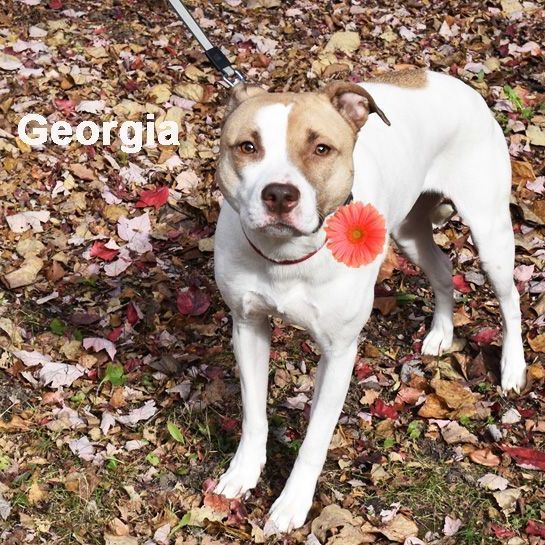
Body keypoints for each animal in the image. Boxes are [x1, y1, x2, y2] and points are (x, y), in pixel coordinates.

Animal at [211, 68, 524, 532]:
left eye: (321, 148)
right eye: (248, 147)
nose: (280, 194)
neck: (287, 257)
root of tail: (445, 79)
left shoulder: (339, 353)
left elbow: (315, 437)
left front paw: (292, 503)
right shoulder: (248, 326)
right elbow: (253, 414)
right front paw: (244, 472)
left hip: (490, 235)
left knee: (511, 298)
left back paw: (513, 367)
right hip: (409, 232)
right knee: (442, 269)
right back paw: (440, 333)